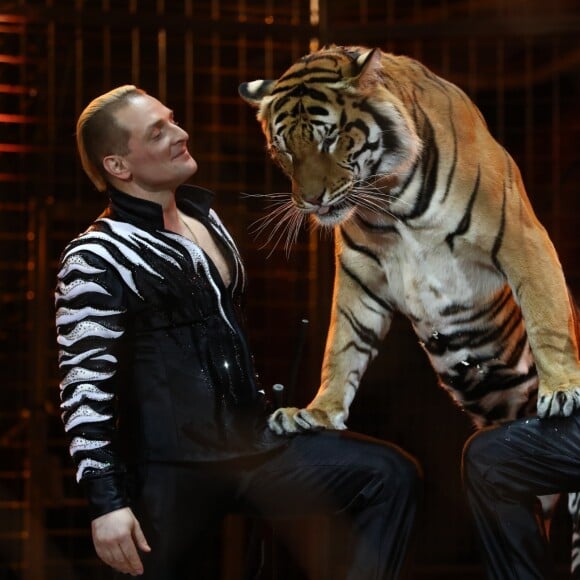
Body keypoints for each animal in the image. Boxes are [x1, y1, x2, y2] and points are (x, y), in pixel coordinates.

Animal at [239, 44, 580, 576]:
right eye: (284, 148)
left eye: (329, 137)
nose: (310, 201)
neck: (389, 199)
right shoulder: (360, 273)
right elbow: (341, 348)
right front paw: (317, 413)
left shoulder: (520, 239)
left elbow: (545, 314)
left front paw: (563, 389)